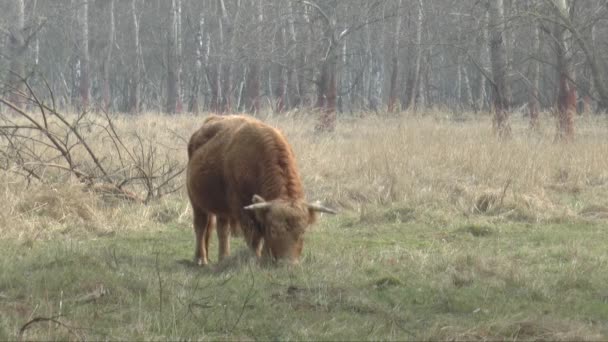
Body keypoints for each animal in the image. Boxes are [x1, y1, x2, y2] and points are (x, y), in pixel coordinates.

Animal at [186, 114, 334, 264]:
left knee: (222, 229)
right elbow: (254, 235)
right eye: (274, 230)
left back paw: (224, 257)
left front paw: (264, 257)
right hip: (196, 202)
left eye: (302, 231)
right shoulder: (243, 209)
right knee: (200, 226)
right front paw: (256, 258)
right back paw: (201, 259)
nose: (288, 263)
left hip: (221, 207)